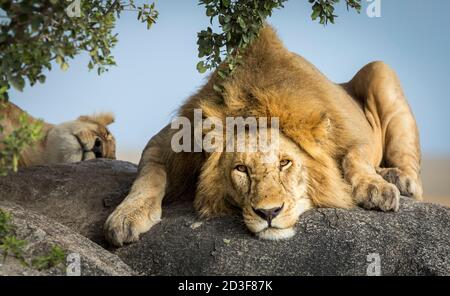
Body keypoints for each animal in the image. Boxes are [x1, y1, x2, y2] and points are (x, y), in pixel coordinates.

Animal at [104, 26, 422, 245]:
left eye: (285, 163)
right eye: (241, 169)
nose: (269, 213)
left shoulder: (352, 133)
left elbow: (355, 157)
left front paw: (375, 187)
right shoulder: (168, 142)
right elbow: (149, 176)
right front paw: (125, 216)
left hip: (381, 69)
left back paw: (398, 179)